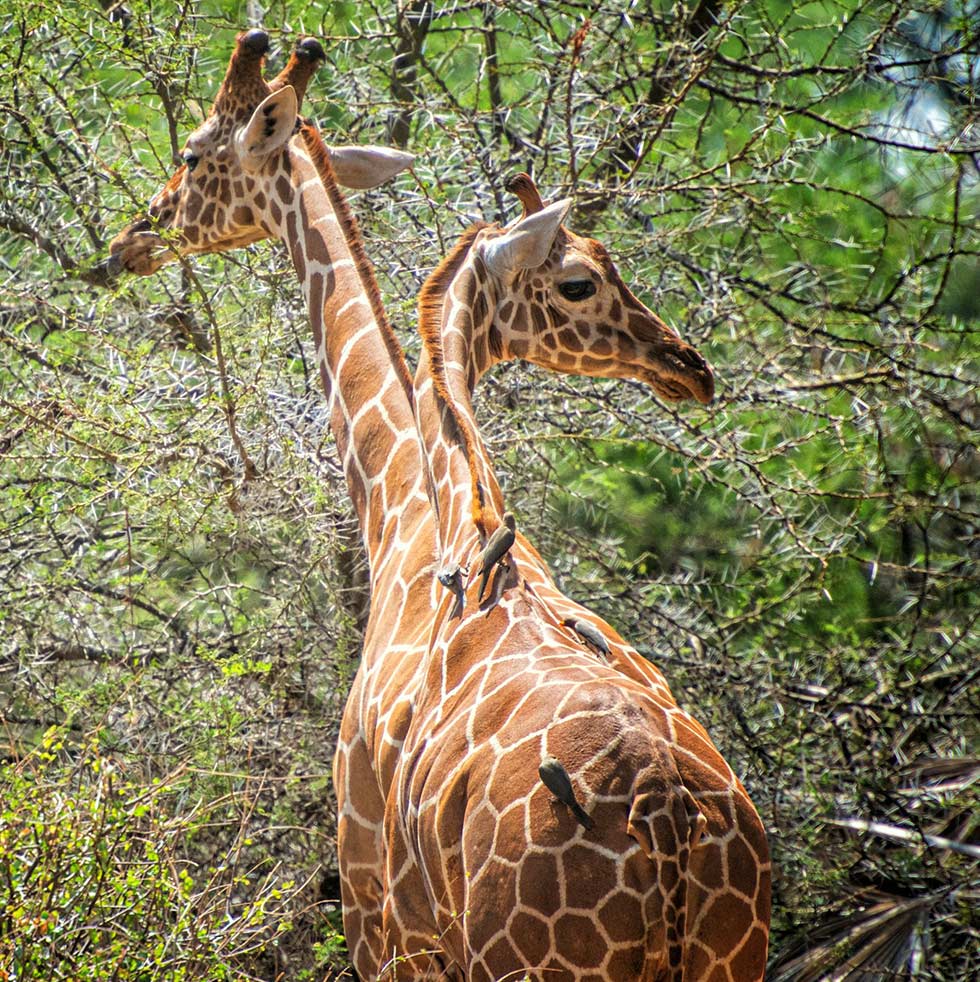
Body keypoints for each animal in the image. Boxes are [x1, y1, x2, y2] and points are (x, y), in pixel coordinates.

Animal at [103, 28, 768, 976]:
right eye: (588, 275)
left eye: (194, 153)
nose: (135, 236)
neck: (418, 517)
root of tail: (668, 819)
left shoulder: (378, 904)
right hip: (729, 951)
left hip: (509, 953)